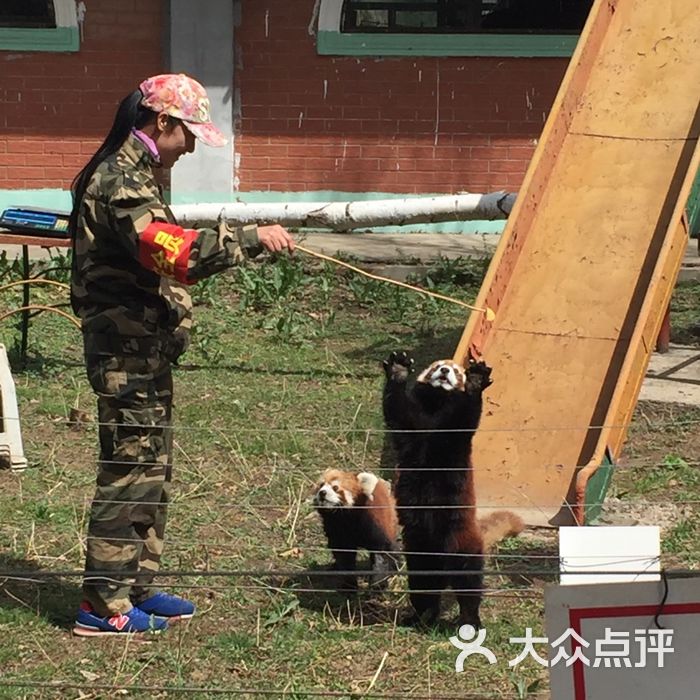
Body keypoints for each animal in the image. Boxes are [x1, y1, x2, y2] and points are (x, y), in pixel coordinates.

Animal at [380, 350, 524, 628]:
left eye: (457, 371)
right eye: (437, 366)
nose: (445, 371)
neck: (435, 406)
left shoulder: (454, 436)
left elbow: (467, 414)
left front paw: (476, 381)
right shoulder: (410, 427)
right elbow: (396, 409)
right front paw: (398, 371)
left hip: (459, 538)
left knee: (467, 579)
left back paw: (469, 619)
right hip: (419, 548)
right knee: (424, 583)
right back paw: (422, 616)